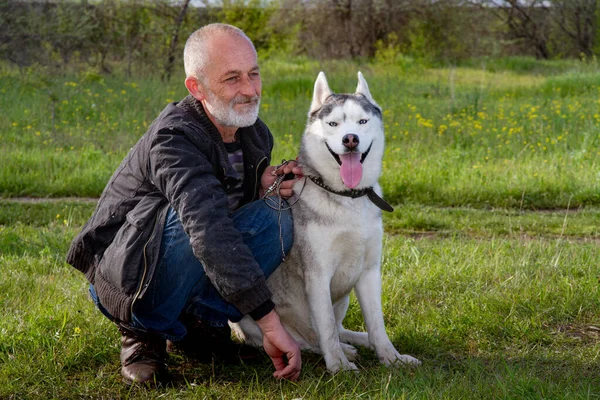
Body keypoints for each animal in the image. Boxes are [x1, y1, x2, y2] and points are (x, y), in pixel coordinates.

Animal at [232, 71, 420, 372]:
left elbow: (377, 325)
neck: (347, 198)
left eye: (362, 121)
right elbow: (327, 330)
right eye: (333, 124)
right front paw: (339, 365)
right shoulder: (317, 274)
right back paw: (339, 350)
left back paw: (357, 342)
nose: (350, 139)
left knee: (341, 328)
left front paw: (392, 357)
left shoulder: (369, 271)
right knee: (306, 339)